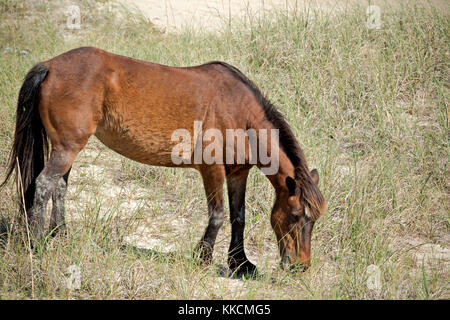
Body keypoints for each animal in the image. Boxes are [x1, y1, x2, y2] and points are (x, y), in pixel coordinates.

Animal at [0, 47, 326, 276]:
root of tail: (51, 66)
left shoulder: (237, 173)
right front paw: (203, 258)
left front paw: (240, 263)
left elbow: (238, 217)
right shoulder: (212, 171)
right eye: (297, 216)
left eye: (312, 220)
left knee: (59, 187)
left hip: (68, 148)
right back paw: (37, 243)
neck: (238, 112)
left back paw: (61, 235)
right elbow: (218, 215)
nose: (301, 266)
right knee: (44, 185)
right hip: (66, 148)